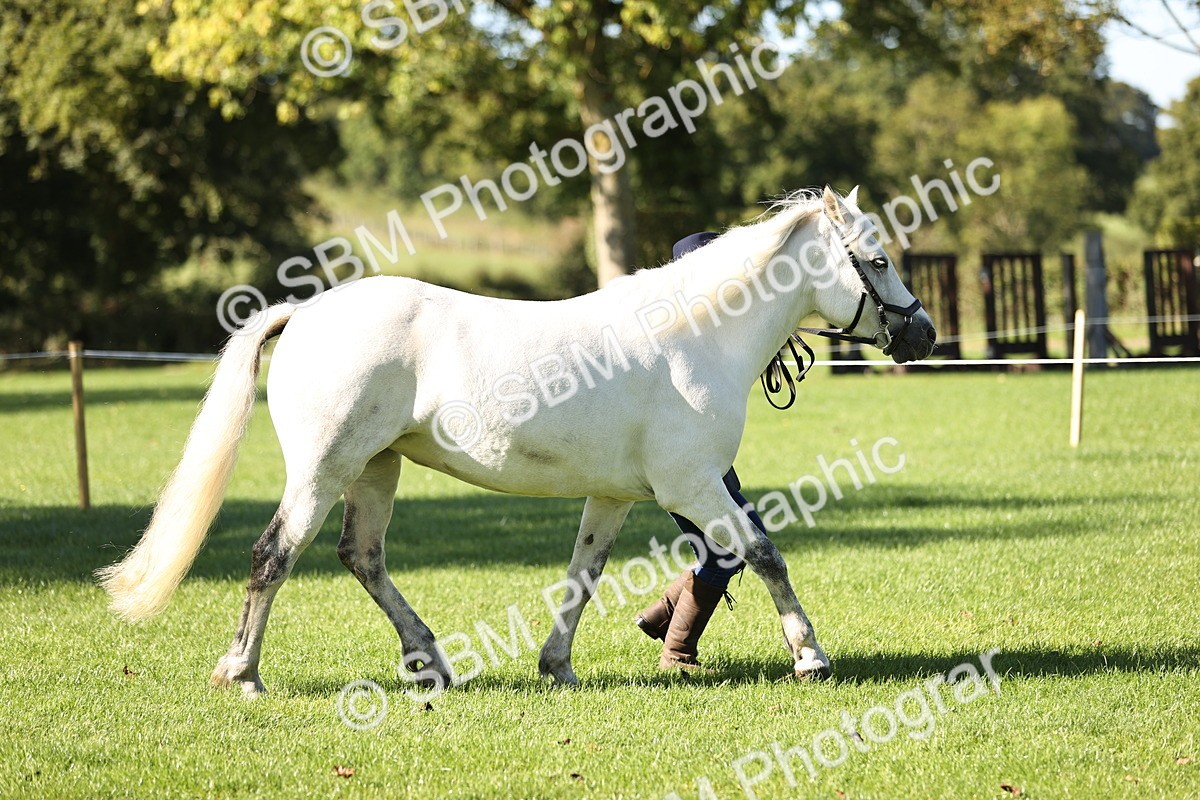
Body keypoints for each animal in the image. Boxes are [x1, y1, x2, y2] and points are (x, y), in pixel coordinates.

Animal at [97, 186, 936, 697]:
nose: (922, 333)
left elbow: (581, 576)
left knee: (361, 557)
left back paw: (430, 663)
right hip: (323, 470)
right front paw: (811, 656)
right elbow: (763, 553)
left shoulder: (615, 496)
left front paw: (556, 666)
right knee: (274, 556)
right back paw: (243, 673)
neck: (693, 337)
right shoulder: (693, 486)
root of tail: (302, 313)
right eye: (879, 259)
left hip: (375, 469)